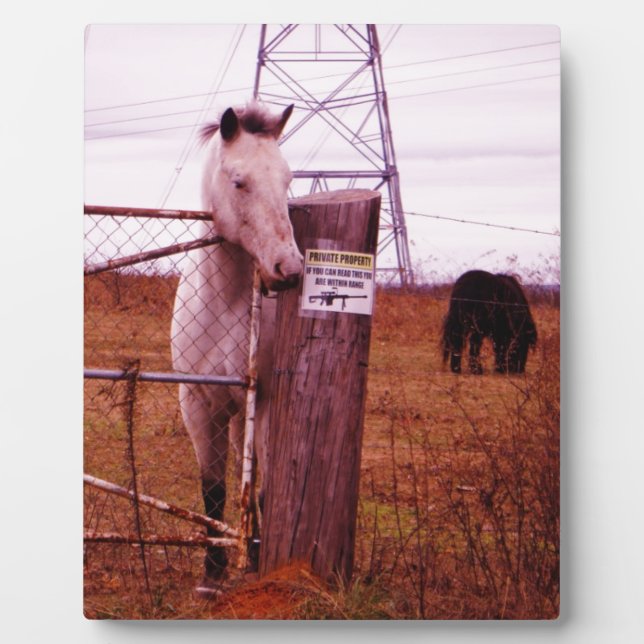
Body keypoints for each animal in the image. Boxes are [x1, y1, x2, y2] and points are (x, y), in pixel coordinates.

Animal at [170, 102, 302, 597]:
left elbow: (259, 487)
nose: (289, 269)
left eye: (287, 179)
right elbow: (213, 489)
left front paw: (256, 559)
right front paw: (211, 574)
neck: (225, 301)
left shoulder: (261, 402)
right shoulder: (197, 402)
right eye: (239, 181)